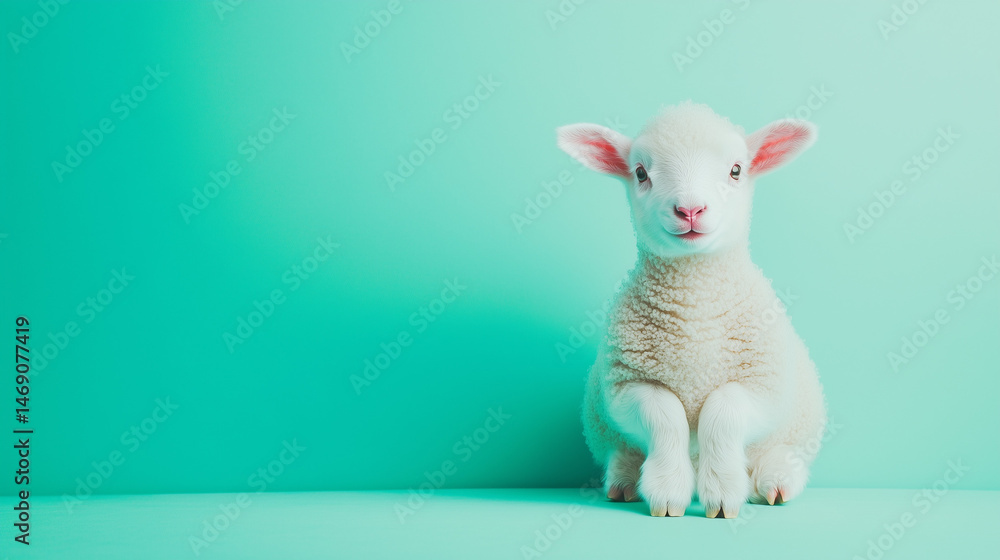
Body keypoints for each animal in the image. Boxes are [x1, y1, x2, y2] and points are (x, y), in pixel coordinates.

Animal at [556, 102, 827, 518]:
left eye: (736, 170)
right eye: (640, 173)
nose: (690, 210)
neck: (694, 307)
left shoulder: (763, 385)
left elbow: (724, 411)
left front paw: (723, 494)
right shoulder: (627, 387)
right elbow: (664, 416)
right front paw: (668, 493)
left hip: (797, 424)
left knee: (781, 452)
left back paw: (774, 482)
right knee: (622, 450)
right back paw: (624, 481)